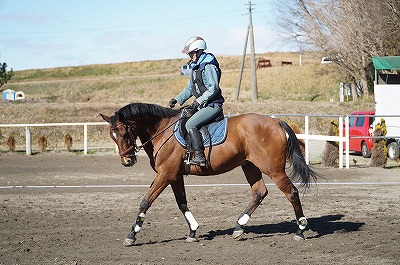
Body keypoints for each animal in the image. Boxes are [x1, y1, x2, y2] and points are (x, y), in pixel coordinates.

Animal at [101, 102, 318, 245]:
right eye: (112, 136)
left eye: (125, 133)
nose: (127, 161)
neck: (162, 132)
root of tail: (277, 122)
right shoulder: (175, 176)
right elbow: (182, 203)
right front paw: (192, 231)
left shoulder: (165, 174)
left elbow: (145, 201)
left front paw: (132, 235)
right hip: (249, 165)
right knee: (259, 192)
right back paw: (239, 227)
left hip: (273, 169)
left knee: (292, 193)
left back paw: (300, 230)